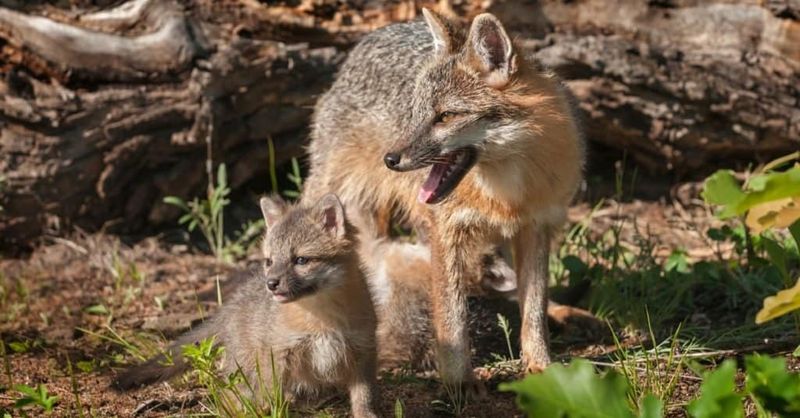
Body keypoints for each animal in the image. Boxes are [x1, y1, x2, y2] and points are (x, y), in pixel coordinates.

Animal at [113, 194, 379, 418]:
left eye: (301, 260)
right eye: (269, 261)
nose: (271, 284)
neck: (321, 321)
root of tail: (232, 304)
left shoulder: (363, 350)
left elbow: (363, 397)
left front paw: (366, 414)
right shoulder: (278, 354)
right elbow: (273, 395)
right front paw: (274, 412)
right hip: (246, 372)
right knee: (228, 397)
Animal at [303, 8, 584, 390]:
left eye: (446, 116)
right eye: (415, 111)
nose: (390, 159)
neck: (506, 194)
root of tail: (376, 34)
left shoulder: (536, 227)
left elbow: (533, 310)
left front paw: (541, 367)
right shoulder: (446, 231)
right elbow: (452, 316)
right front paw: (459, 383)